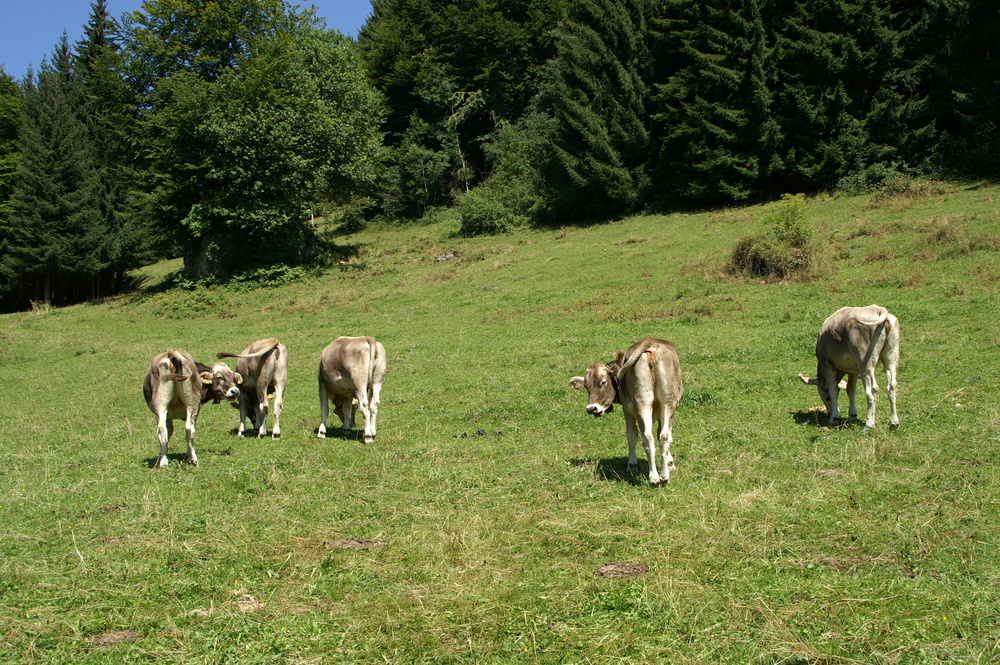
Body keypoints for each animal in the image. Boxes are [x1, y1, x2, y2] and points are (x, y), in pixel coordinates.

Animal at [568, 338, 684, 482]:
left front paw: (632, 465)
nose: (591, 408)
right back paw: (662, 476)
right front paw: (669, 464)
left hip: (644, 405)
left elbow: (631, 435)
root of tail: (649, 341)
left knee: (648, 437)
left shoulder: (627, 410)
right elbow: (660, 434)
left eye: (603, 382)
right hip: (667, 402)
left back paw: (654, 478)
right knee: (663, 436)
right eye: (587, 386)